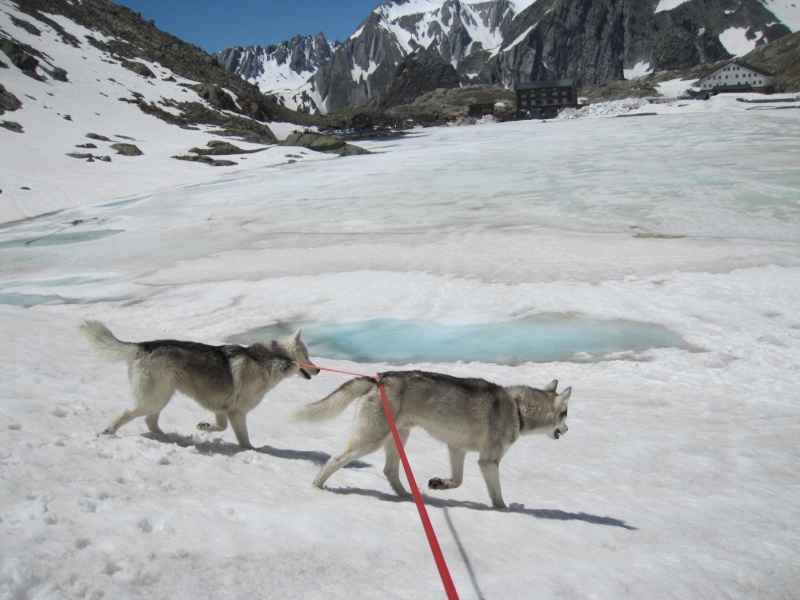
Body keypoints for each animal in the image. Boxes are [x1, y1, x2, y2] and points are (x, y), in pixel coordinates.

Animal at [80, 322, 318, 448]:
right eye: (307, 356)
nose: (317, 370)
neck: (272, 360)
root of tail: (144, 346)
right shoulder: (237, 412)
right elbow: (244, 440)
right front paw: (251, 451)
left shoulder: (223, 408)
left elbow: (220, 427)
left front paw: (204, 427)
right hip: (154, 399)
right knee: (126, 414)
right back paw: (108, 432)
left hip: (161, 397)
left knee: (150, 421)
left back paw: (168, 437)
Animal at [294, 372, 568, 508]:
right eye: (566, 414)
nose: (566, 431)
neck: (517, 407)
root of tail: (378, 379)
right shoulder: (489, 461)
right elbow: (497, 496)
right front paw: (505, 510)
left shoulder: (457, 449)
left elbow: (458, 480)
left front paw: (440, 483)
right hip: (370, 440)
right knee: (335, 459)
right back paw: (317, 485)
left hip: (398, 437)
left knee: (390, 470)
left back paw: (407, 496)